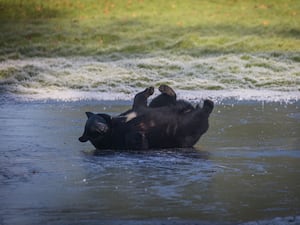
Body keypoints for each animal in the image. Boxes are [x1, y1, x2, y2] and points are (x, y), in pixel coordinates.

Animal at [78, 85, 213, 150]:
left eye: (97, 121)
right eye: (93, 131)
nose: (102, 128)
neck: (113, 126)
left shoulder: (132, 112)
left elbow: (139, 100)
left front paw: (149, 89)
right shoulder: (119, 138)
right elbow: (136, 141)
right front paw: (142, 135)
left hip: (168, 106)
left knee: (164, 100)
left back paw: (165, 89)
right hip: (186, 129)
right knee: (198, 117)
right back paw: (208, 103)